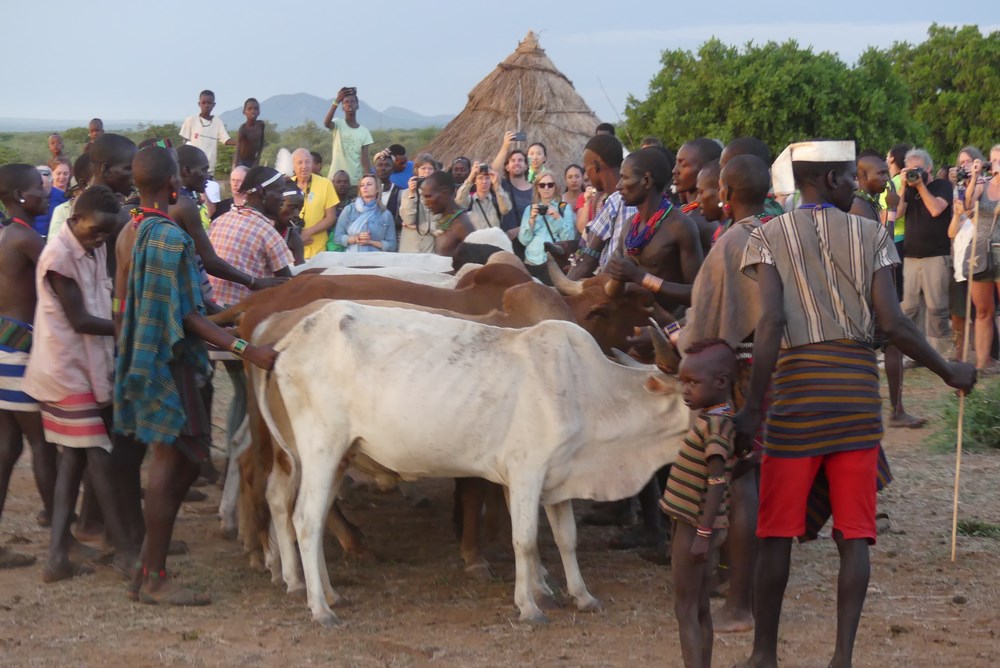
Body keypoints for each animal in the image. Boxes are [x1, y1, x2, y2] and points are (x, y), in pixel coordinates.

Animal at [248, 302, 696, 628]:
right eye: (692, 396)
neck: (592, 391)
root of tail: (286, 343)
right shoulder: (526, 474)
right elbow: (526, 541)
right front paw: (529, 607)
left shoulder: (558, 479)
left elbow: (566, 539)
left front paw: (582, 596)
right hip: (320, 449)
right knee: (304, 519)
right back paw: (320, 608)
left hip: (337, 457)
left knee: (310, 514)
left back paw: (327, 592)